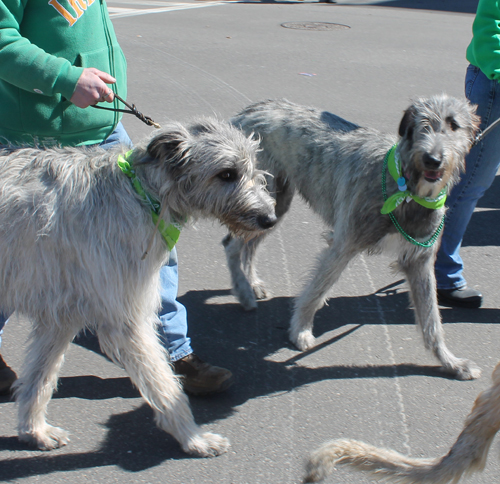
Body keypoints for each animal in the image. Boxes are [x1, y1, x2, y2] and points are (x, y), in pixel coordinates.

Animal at [3, 118, 276, 458]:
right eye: (227, 173)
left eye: (252, 169)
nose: (270, 218)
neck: (141, 192)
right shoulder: (124, 318)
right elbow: (164, 384)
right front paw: (194, 438)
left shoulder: (63, 314)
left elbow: (40, 376)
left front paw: (34, 430)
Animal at [226, 94, 480, 380]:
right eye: (422, 125)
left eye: (453, 125)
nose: (432, 159)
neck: (404, 187)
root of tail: (249, 110)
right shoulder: (343, 244)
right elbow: (315, 293)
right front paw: (300, 330)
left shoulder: (419, 259)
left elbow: (431, 320)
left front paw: (450, 362)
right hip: (262, 198)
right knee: (232, 246)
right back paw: (243, 291)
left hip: (275, 206)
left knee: (248, 244)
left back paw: (252, 283)